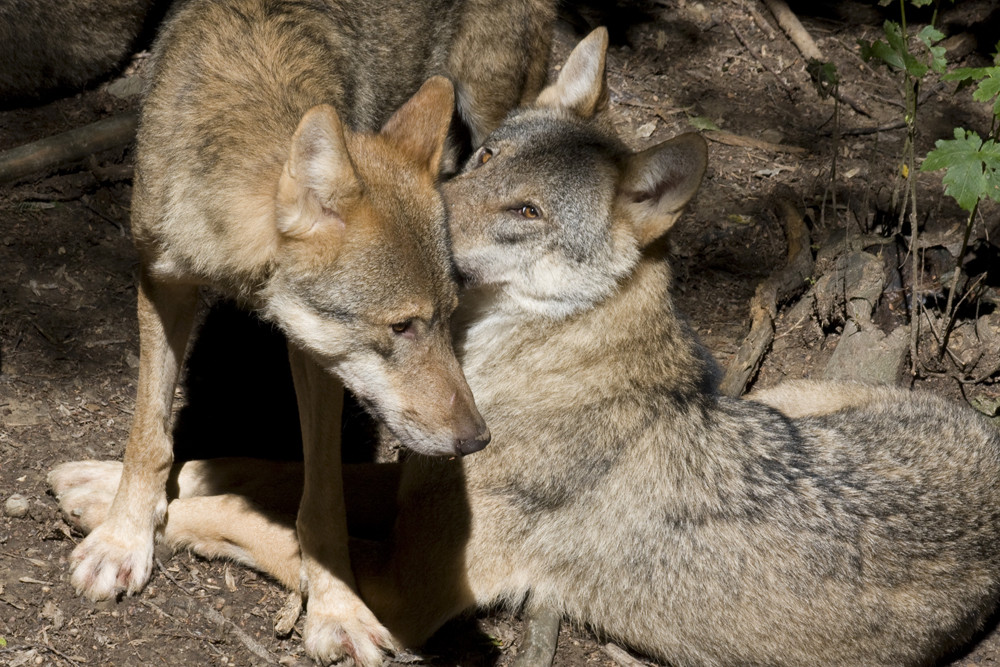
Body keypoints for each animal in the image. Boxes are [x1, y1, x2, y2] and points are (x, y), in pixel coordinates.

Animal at [50, 27, 1000, 667]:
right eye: (482, 161)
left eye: (529, 212)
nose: (434, 215)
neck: (530, 361)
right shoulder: (417, 476)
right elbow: (272, 474)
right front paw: (117, 483)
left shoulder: (410, 587)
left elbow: (280, 527)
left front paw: (138, 520)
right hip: (784, 398)